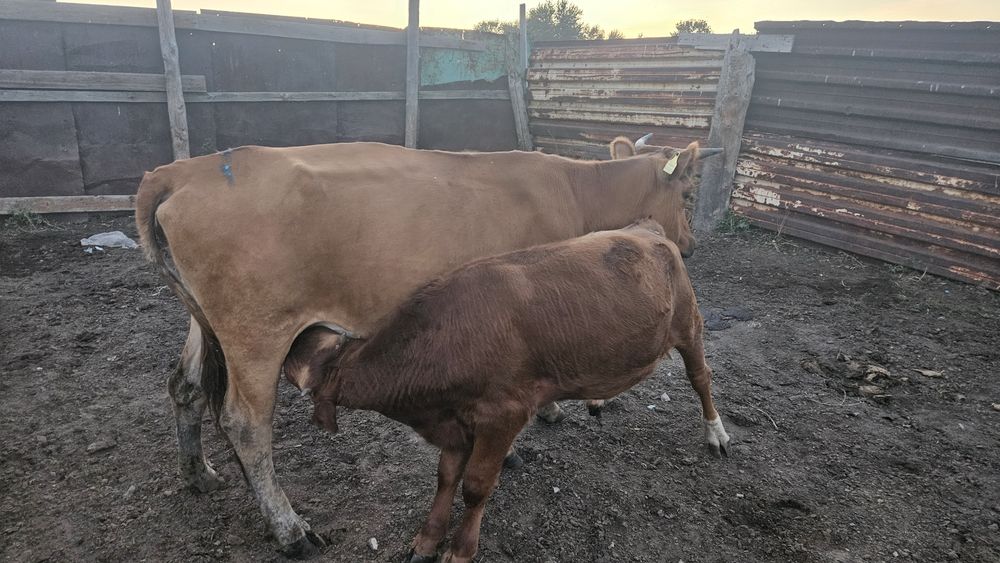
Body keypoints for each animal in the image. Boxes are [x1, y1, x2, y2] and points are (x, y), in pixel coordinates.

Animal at [286, 218, 731, 563]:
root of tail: (643, 227)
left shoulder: (504, 414)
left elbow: (475, 485)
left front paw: (460, 549)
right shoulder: (456, 421)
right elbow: (445, 476)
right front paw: (427, 539)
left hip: (689, 323)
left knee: (701, 378)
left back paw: (716, 433)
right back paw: (597, 398)